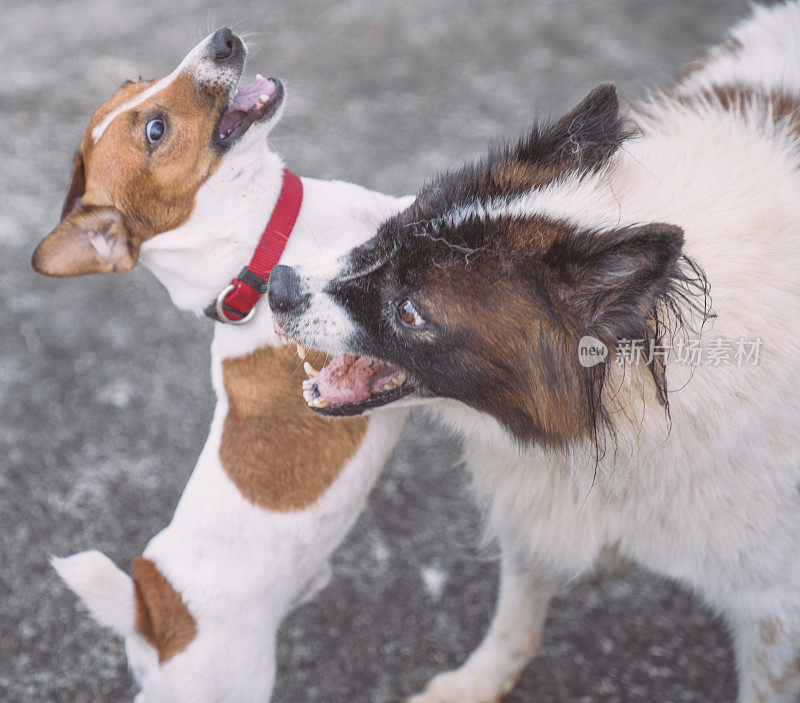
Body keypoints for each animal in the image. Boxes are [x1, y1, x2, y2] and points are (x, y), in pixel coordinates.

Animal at [268, 2, 800, 700]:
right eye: (387, 232)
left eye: (410, 311)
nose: (275, 286)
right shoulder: (537, 504)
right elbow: (515, 616)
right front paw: (477, 683)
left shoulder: (773, 610)